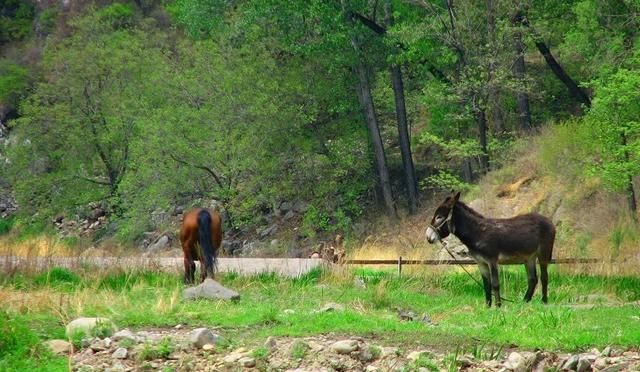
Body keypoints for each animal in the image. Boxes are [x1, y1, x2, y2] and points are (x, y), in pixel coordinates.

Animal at [424, 192, 556, 308]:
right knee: (533, 279)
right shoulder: (481, 263)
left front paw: (498, 306)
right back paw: (524, 302)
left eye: (439, 217)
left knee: (544, 277)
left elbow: (495, 284)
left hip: (543, 253)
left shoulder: (492, 260)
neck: (478, 232)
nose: (427, 237)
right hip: (529, 257)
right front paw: (487, 306)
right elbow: (486, 285)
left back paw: (544, 302)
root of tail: (548, 220)